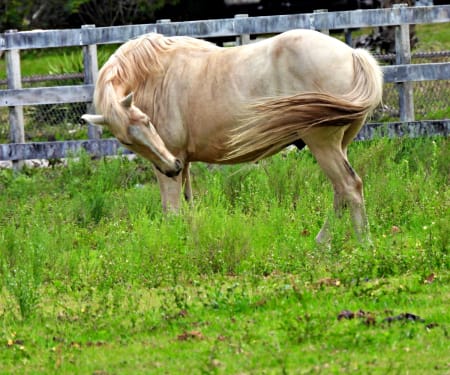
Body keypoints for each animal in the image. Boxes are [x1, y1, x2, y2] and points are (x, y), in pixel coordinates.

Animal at [82, 28, 382, 241]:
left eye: (146, 121)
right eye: (126, 140)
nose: (170, 167)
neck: (153, 74)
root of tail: (352, 54)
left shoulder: (173, 162)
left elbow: (172, 212)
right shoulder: (183, 163)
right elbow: (188, 206)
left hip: (322, 143)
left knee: (349, 186)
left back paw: (363, 245)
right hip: (338, 144)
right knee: (341, 191)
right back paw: (323, 243)